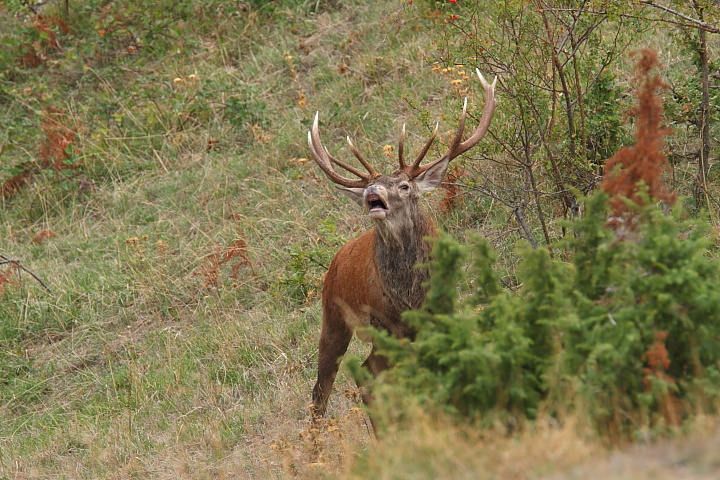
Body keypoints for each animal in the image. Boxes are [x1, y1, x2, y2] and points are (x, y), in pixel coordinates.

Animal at [306, 69, 498, 422]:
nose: (372, 191)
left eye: (405, 185)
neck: (411, 290)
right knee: (328, 385)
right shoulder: (390, 322)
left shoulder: (441, 307)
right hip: (335, 317)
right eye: (374, 185)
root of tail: (333, 264)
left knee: (367, 371)